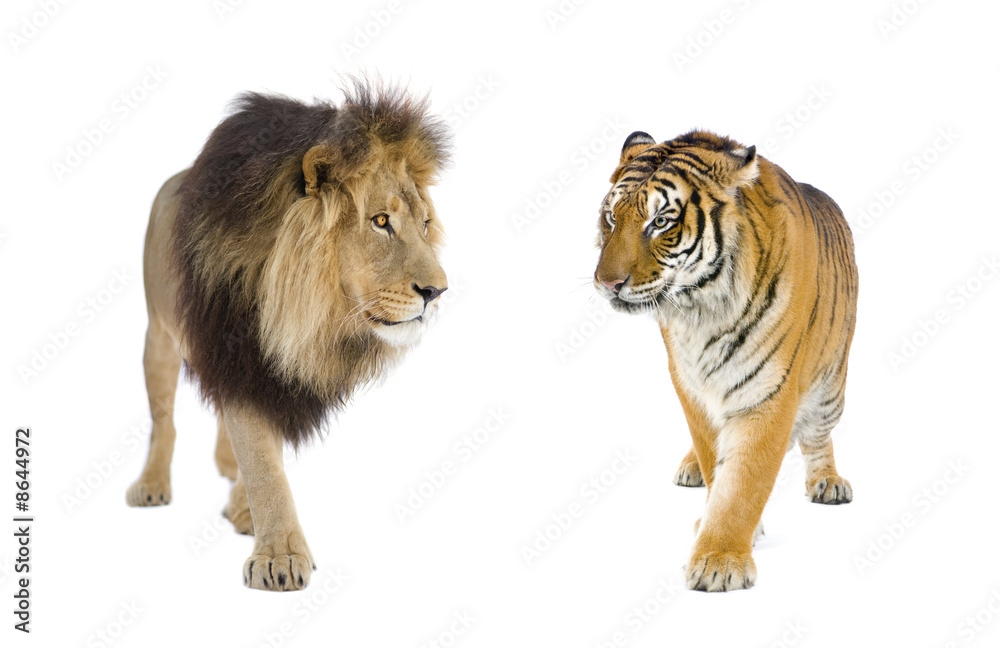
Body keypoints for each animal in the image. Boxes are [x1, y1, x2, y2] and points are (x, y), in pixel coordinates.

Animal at [126, 80, 451, 591]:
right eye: (380, 221)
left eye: (424, 224)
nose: (438, 291)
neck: (308, 313)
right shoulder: (237, 353)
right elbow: (263, 465)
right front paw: (279, 554)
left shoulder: (270, 372)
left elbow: (259, 454)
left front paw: (249, 514)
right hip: (157, 334)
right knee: (163, 421)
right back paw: (153, 484)